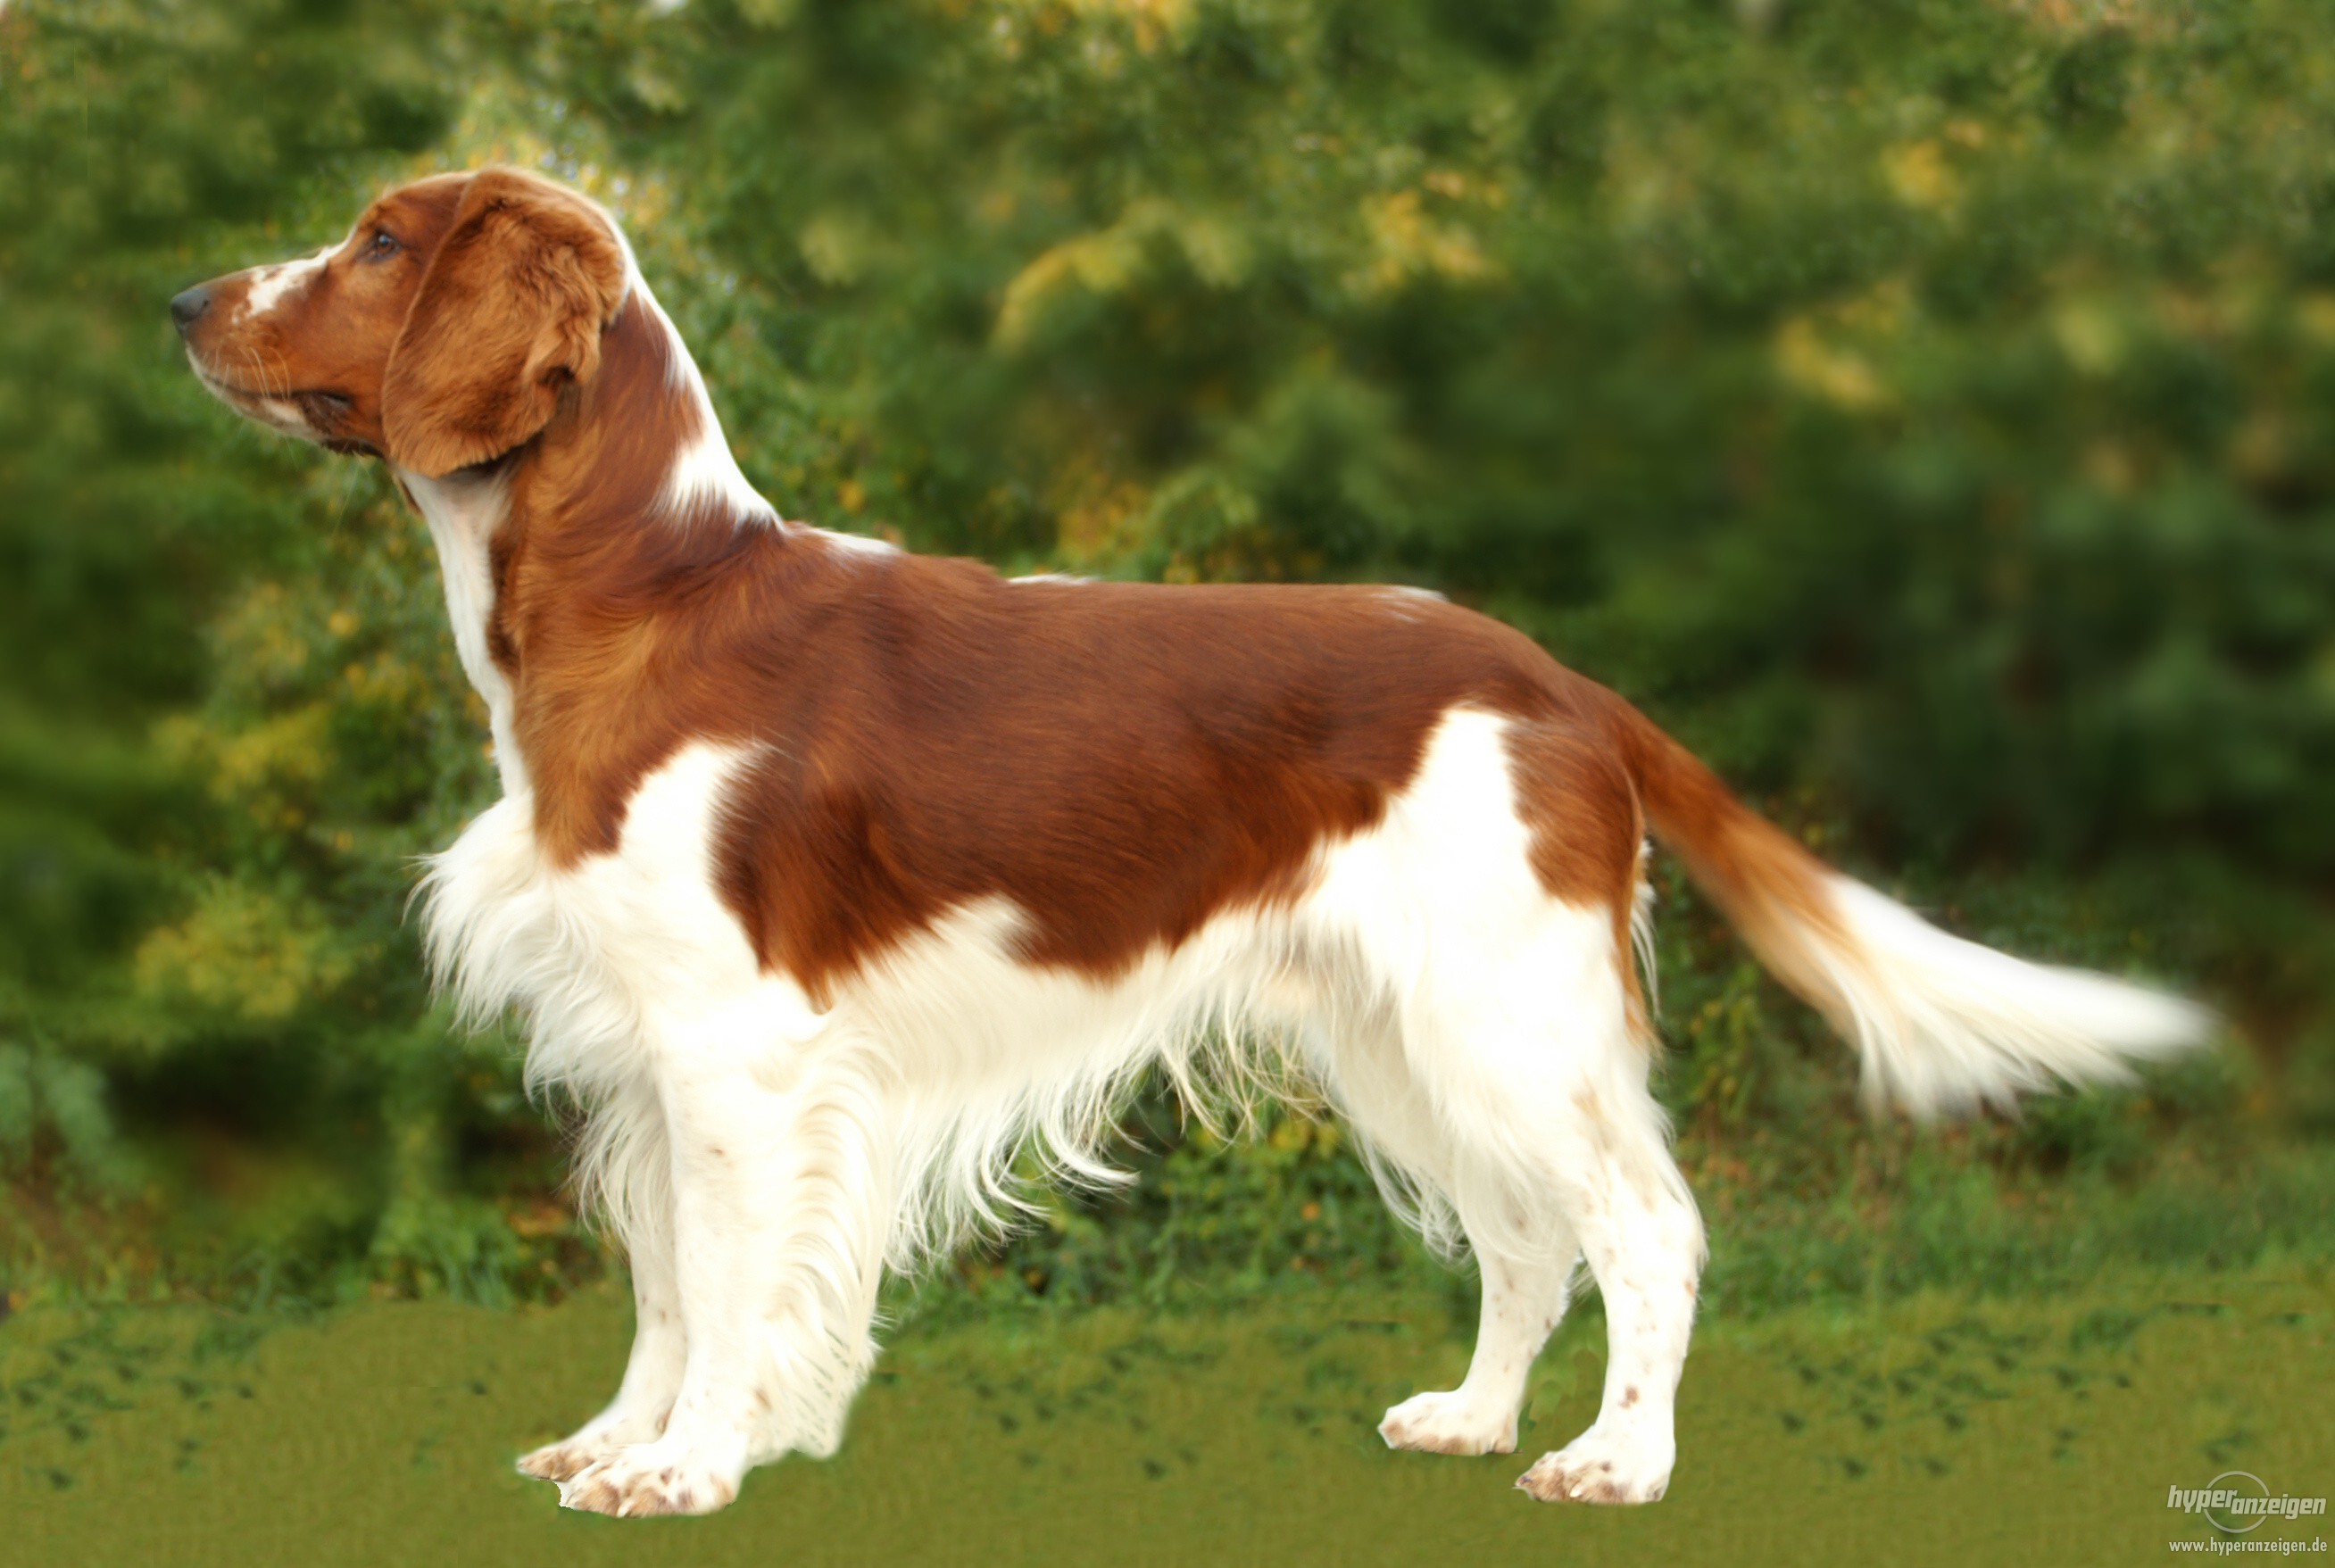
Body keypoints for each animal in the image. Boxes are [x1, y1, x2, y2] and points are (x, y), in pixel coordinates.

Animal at [177, 171, 2204, 1521]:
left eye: (377, 241)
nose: (189, 294)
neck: (643, 595)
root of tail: (1560, 679)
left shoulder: (735, 1048)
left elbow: (730, 1276)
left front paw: (684, 1469)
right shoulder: (639, 1046)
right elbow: (670, 1276)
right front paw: (623, 1438)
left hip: (1500, 1007)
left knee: (1643, 1222)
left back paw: (1615, 1457)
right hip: (1398, 1029)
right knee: (1526, 1235)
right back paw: (1473, 1420)